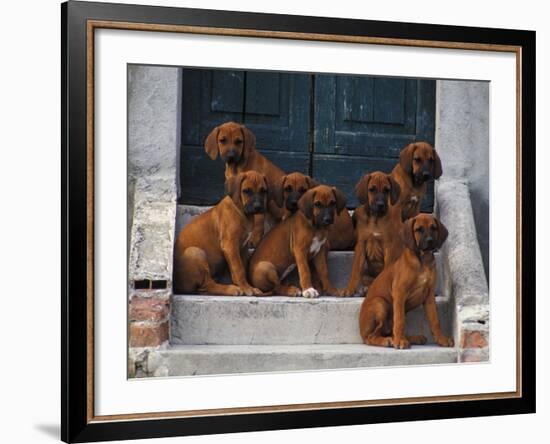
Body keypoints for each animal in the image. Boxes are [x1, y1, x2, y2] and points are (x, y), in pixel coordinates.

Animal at [360, 213, 454, 348]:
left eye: (434, 228)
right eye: (419, 229)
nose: (430, 241)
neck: (422, 260)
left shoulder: (429, 296)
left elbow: (435, 320)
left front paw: (442, 339)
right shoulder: (399, 293)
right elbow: (400, 320)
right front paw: (399, 341)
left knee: (389, 331)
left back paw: (412, 338)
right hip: (380, 303)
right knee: (371, 336)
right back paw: (388, 340)